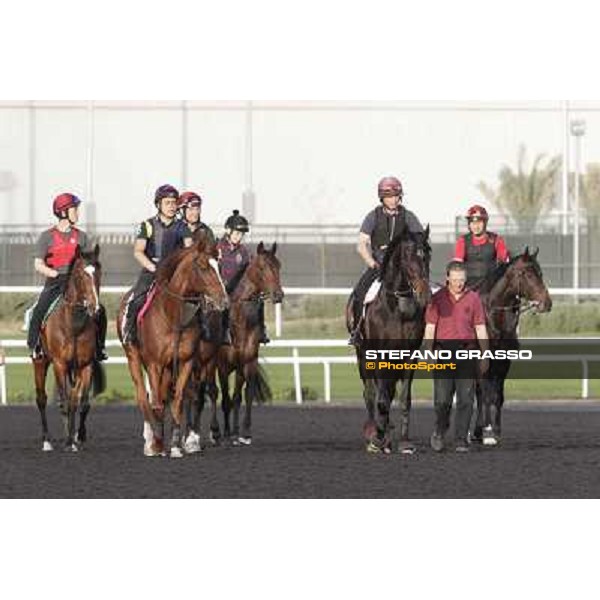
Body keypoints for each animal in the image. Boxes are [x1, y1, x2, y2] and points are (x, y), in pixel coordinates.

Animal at [33, 244, 106, 450]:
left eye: (99, 272)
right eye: (81, 274)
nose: (95, 308)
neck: (73, 325)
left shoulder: (85, 365)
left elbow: (81, 403)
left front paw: (78, 437)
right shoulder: (59, 364)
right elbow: (64, 401)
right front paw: (67, 441)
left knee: (72, 399)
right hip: (41, 362)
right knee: (42, 399)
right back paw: (47, 440)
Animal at [116, 237, 227, 458]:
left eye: (219, 265)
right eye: (203, 267)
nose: (223, 300)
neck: (173, 316)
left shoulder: (186, 362)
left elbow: (178, 401)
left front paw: (176, 445)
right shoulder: (154, 364)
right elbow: (157, 404)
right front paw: (158, 445)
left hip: (171, 368)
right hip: (133, 358)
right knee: (143, 396)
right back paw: (150, 441)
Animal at [213, 240, 284, 446]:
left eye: (278, 266)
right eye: (262, 267)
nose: (278, 295)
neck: (241, 320)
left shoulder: (247, 362)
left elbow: (243, 396)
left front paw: (243, 432)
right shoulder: (222, 365)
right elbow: (226, 399)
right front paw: (227, 434)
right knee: (207, 392)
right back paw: (215, 432)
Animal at [346, 230, 432, 454]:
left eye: (428, 254)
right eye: (408, 257)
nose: (425, 294)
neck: (397, 307)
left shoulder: (408, 356)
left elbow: (403, 398)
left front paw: (404, 441)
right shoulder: (379, 355)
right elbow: (381, 398)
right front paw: (379, 438)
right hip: (362, 355)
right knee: (370, 393)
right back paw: (374, 433)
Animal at [474, 245, 552, 446]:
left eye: (540, 273)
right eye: (528, 274)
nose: (546, 303)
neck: (494, 317)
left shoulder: (504, 363)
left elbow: (498, 396)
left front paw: (496, 431)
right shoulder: (483, 362)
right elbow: (486, 394)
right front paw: (487, 431)